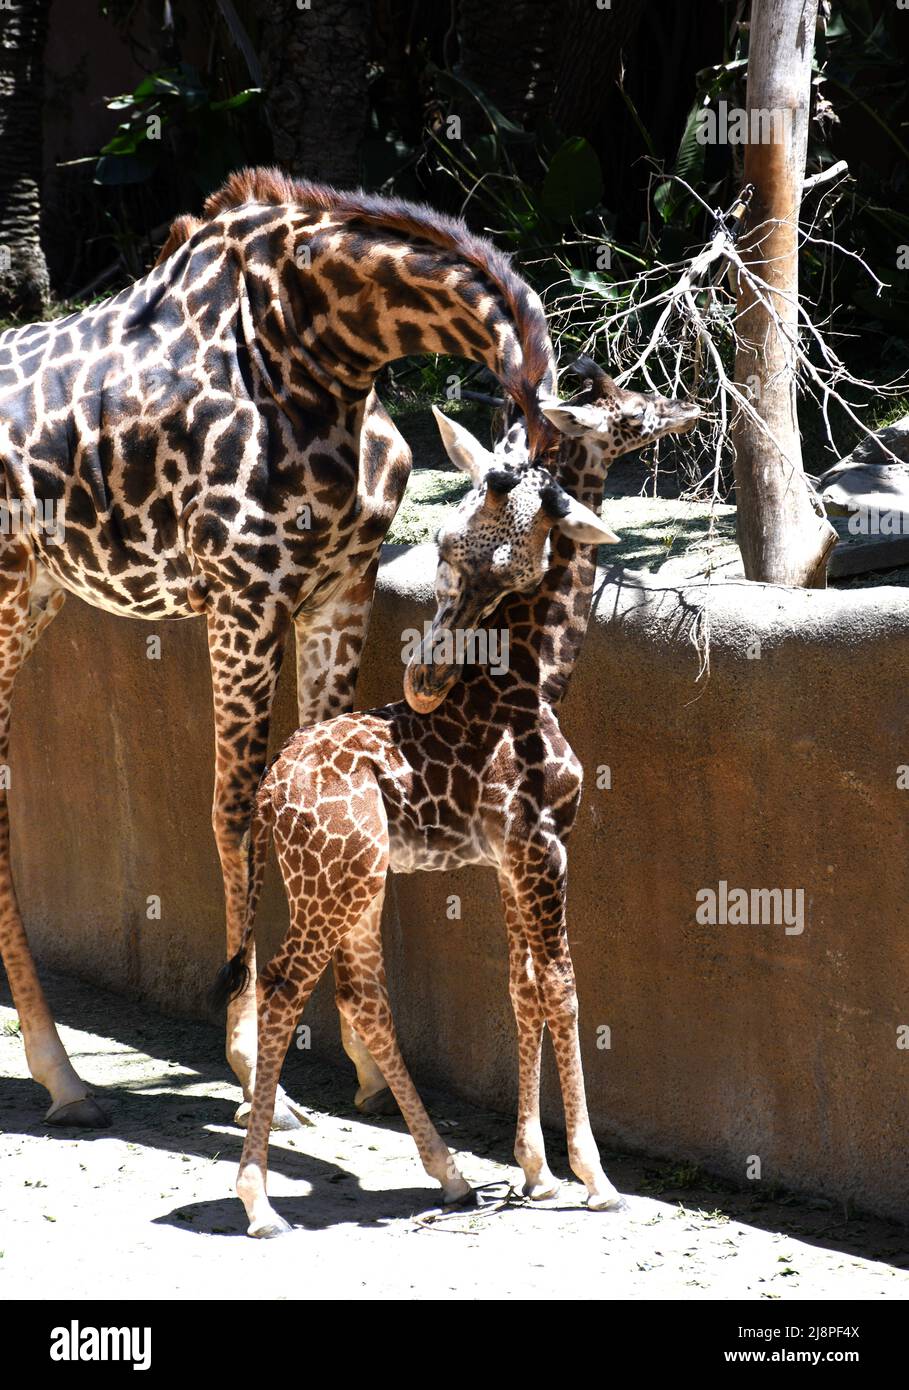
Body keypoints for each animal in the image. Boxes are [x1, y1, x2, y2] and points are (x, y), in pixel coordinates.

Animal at [0, 166, 558, 1130]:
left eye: (532, 574)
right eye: (447, 548)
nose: (427, 682)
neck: (327, 350)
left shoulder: (338, 587)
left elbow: (331, 785)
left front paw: (366, 1066)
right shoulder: (242, 595)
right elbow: (235, 807)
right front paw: (251, 1061)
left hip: (33, 597)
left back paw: (61, 1076)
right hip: (4, 595)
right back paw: (63, 1074)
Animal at [213, 358, 700, 1236]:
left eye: (513, 565)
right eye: (627, 408)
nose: (686, 405)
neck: (533, 677)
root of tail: (270, 794)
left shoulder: (509, 858)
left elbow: (521, 985)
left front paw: (535, 1171)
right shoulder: (545, 845)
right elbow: (565, 987)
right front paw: (592, 1175)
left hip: (344, 883)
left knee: (359, 993)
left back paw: (446, 1174)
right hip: (337, 886)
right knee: (284, 988)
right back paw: (260, 1199)